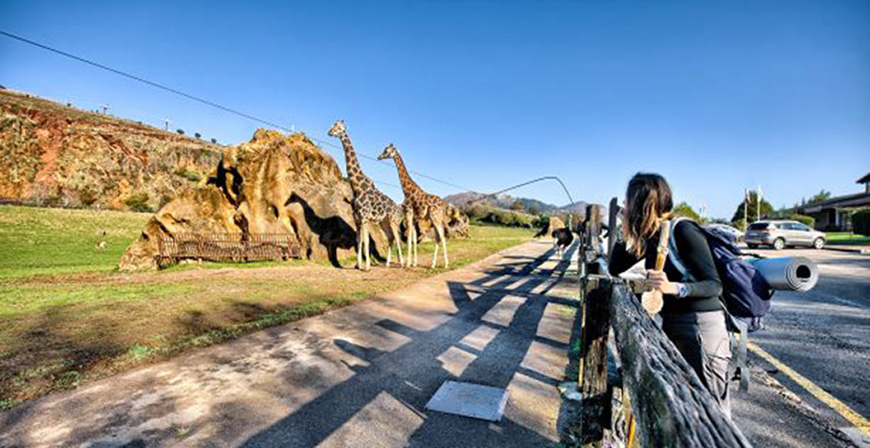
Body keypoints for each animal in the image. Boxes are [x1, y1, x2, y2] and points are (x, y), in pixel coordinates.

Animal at [328, 120, 408, 270]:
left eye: (339, 127)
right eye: (333, 125)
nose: (329, 132)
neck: (357, 187)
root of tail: (398, 208)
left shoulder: (365, 217)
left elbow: (365, 240)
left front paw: (367, 267)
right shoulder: (357, 218)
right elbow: (358, 239)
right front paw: (358, 265)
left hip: (393, 220)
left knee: (397, 238)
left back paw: (402, 263)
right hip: (383, 221)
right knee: (390, 237)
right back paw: (387, 264)